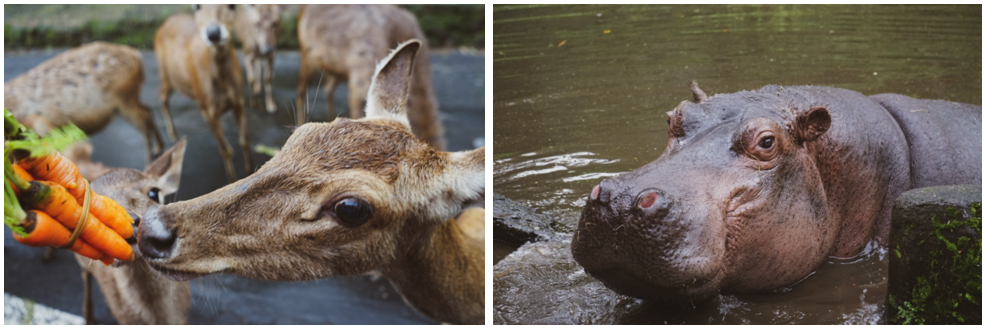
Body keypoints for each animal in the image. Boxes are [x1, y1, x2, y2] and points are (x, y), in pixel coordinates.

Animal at [4, 42, 165, 167]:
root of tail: (136, 55)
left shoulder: (38, 123)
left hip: (124, 98)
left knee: (144, 120)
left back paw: (149, 162)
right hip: (130, 97)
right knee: (147, 109)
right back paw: (158, 148)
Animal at [155, 3, 252, 183]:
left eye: (232, 5)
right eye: (196, 5)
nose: (213, 33)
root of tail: (165, 22)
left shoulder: (240, 101)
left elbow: (244, 141)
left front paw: (250, 173)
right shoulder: (207, 110)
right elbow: (222, 150)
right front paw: (232, 181)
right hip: (167, 74)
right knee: (161, 95)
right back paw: (171, 136)